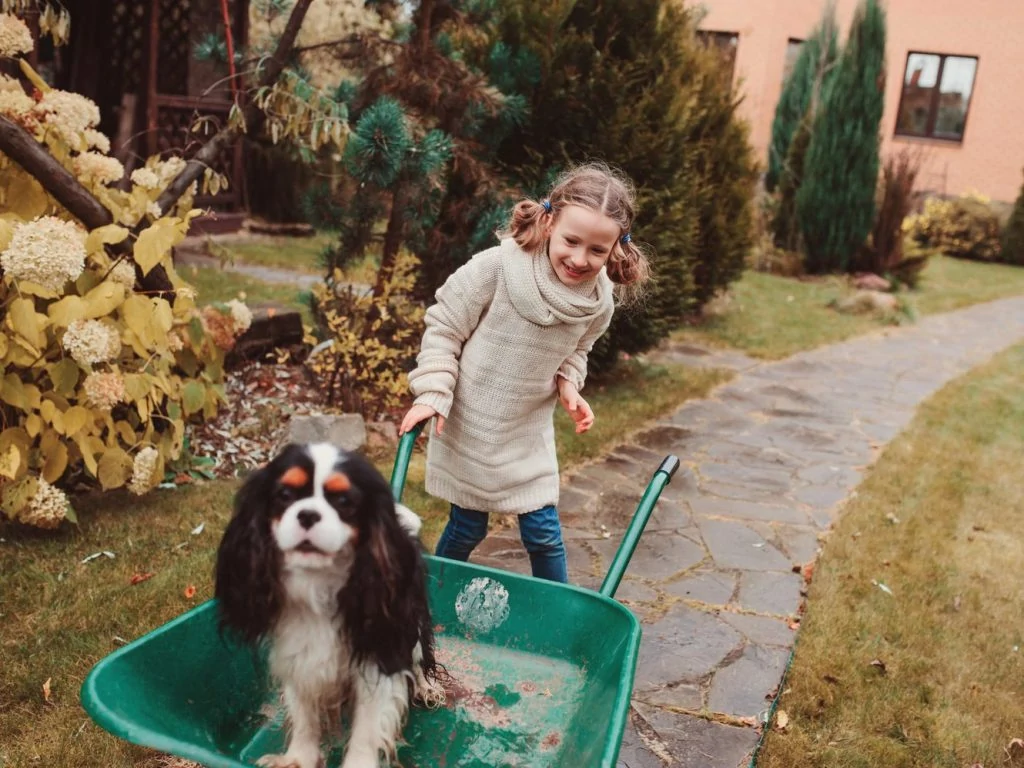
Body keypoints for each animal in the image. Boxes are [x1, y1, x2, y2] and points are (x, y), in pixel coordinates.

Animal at [216, 444, 440, 768]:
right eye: (285, 494)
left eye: (344, 501)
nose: (307, 514)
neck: (318, 584)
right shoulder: (298, 653)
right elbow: (304, 715)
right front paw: (298, 758)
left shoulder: (379, 655)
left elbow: (367, 728)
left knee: (420, 657)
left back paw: (428, 688)